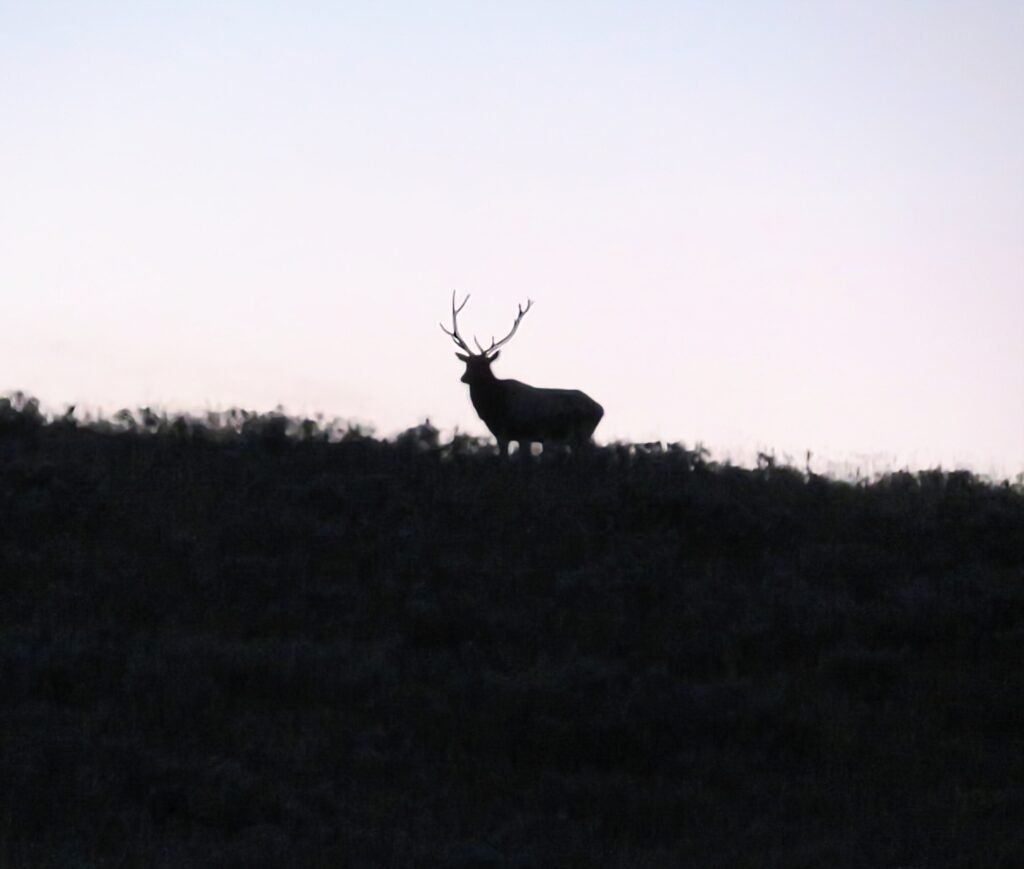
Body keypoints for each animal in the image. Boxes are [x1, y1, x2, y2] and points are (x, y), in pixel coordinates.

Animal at [440, 292, 604, 458]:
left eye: (483, 365)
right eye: (467, 363)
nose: (464, 378)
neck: (494, 407)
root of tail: (600, 409)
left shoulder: (522, 433)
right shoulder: (502, 435)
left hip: (581, 434)